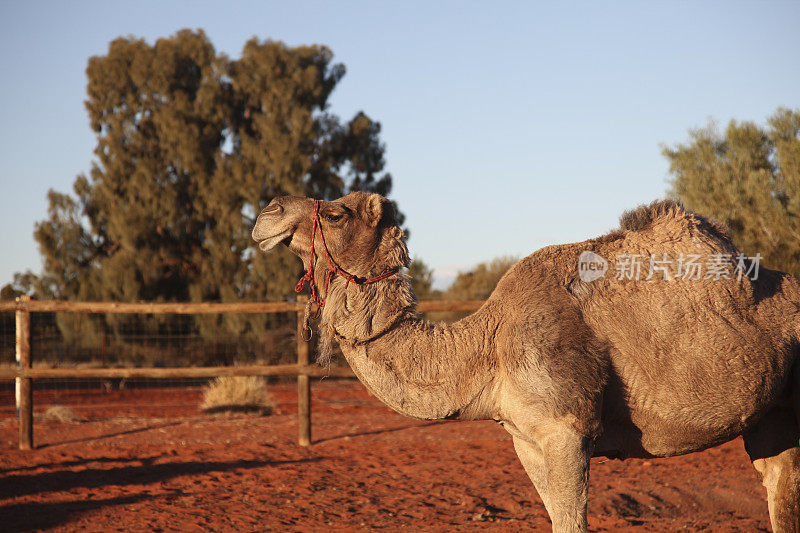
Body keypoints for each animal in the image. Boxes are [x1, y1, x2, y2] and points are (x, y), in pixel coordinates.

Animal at [252, 192, 800, 532]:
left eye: (337, 214)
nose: (266, 212)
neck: (488, 347)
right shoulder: (527, 440)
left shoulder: (567, 430)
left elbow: (573, 522)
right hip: (773, 421)